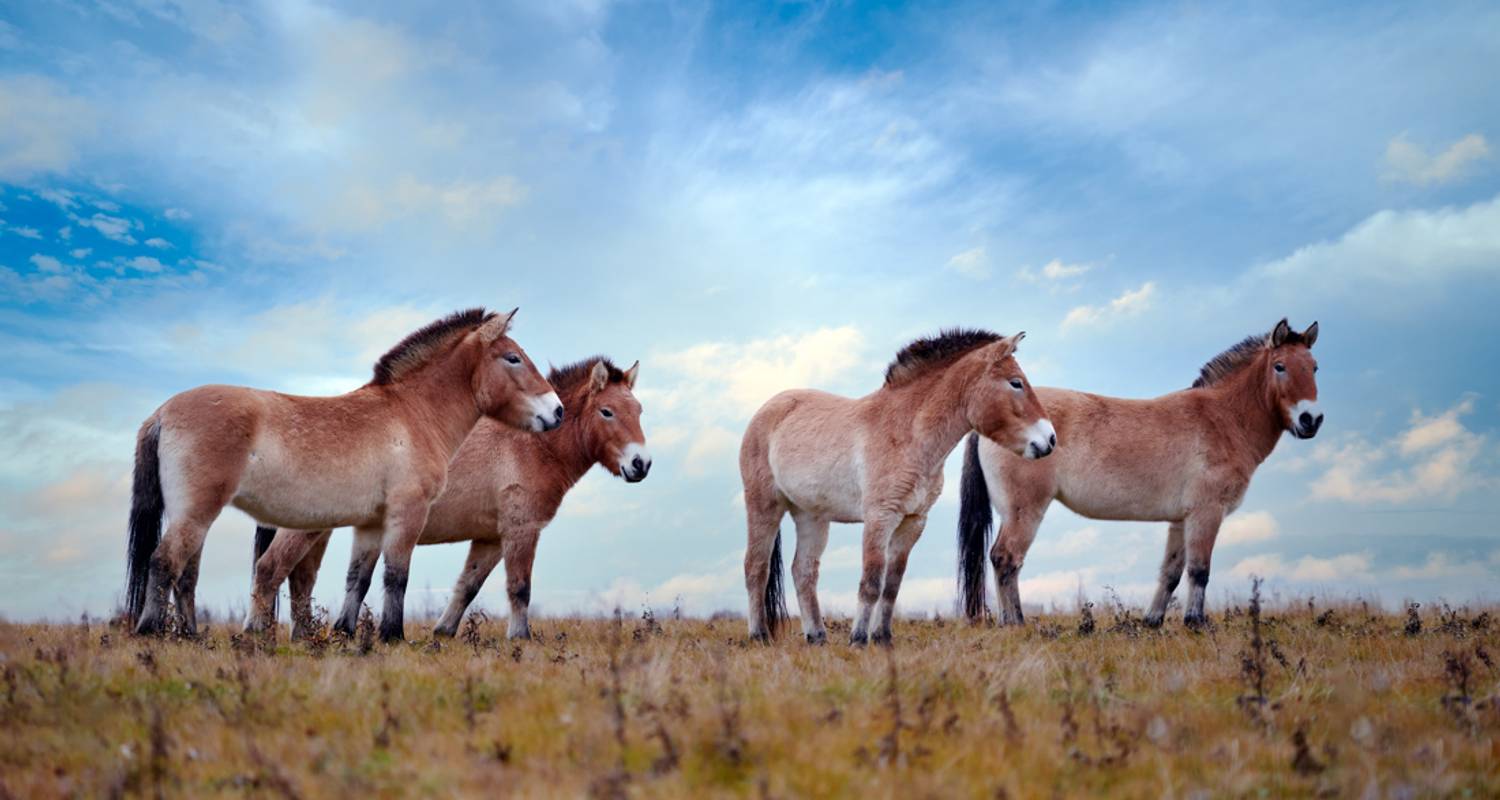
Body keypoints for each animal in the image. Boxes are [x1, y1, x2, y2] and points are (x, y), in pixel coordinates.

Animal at [126, 307, 564, 642]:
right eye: (512, 358)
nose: (557, 411)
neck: (412, 414)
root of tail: (162, 413)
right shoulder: (408, 514)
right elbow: (396, 576)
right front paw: (392, 636)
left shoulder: (370, 524)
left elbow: (360, 578)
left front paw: (347, 633)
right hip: (197, 512)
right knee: (164, 561)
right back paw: (150, 630)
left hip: (197, 515)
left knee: (187, 572)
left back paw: (190, 634)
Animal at [247, 354, 651, 636]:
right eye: (607, 411)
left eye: (639, 410)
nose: (641, 464)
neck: (530, 444)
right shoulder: (521, 531)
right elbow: (519, 588)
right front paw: (520, 639)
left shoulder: (490, 539)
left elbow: (467, 586)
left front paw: (442, 632)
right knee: (271, 569)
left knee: (300, 580)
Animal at [741, 327, 1056, 645]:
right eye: (1016, 383)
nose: (1050, 440)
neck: (908, 433)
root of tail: (768, 409)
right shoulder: (880, 518)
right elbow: (871, 581)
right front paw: (859, 639)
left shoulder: (912, 521)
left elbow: (892, 583)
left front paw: (882, 638)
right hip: (764, 506)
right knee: (756, 567)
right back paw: (759, 635)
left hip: (811, 516)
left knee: (803, 572)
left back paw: (817, 637)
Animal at [960, 315, 1326, 627]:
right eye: (1280, 366)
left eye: (1314, 367)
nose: (1311, 420)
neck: (1222, 419)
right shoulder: (1207, 512)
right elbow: (1199, 569)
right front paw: (1196, 623)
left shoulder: (1182, 519)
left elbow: (1172, 572)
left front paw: (1153, 621)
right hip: (1025, 512)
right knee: (1006, 558)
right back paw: (1016, 623)